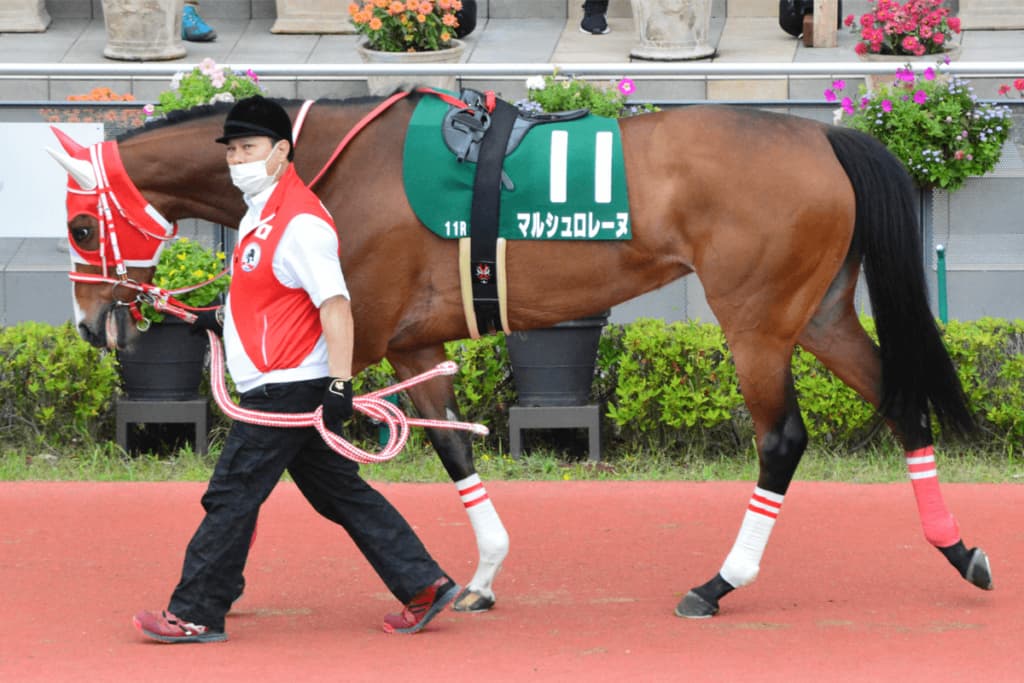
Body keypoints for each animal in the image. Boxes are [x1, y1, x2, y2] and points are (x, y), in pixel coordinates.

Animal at [46, 90, 993, 618]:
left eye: (82, 226)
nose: (94, 324)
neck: (325, 162)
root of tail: (824, 137)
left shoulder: (356, 328)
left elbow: (297, 439)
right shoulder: (414, 341)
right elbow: (451, 451)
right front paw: (478, 575)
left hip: (757, 318)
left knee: (782, 440)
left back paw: (719, 582)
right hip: (821, 313)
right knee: (900, 400)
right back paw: (960, 550)